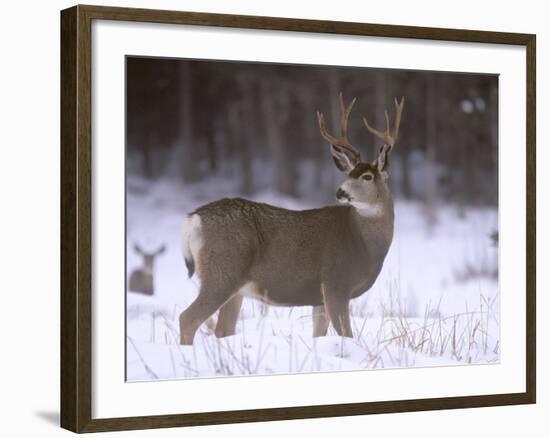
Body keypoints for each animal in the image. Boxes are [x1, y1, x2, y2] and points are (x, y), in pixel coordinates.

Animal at [181, 93, 406, 346]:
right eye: (349, 174)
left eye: (367, 176)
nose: (340, 192)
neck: (363, 245)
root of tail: (194, 218)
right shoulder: (336, 282)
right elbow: (347, 334)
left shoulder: (319, 298)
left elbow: (319, 333)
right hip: (222, 272)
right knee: (188, 318)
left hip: (234, 287)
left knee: (223, 329)